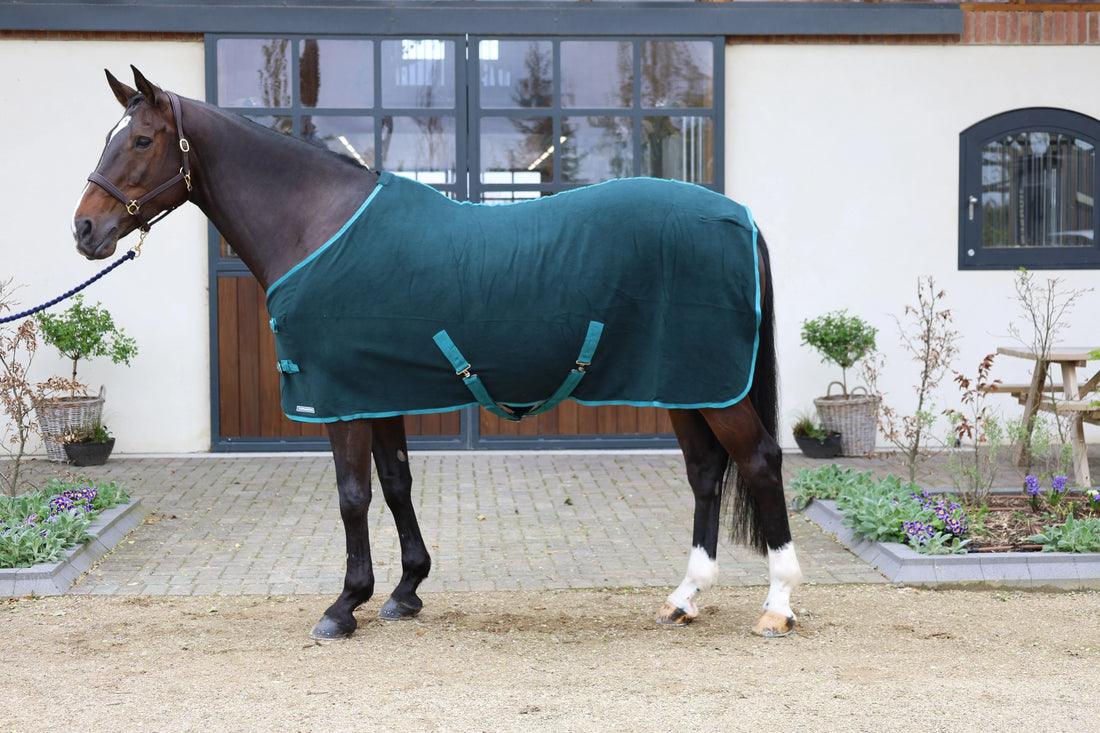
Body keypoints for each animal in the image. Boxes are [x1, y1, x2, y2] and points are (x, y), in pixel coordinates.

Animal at [72, 67, 802, 639]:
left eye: (141, 139)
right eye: (108, 137)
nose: (84, 229)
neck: (318, 223)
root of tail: (739, 216)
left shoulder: (339, 397)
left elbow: (353, 495)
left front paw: (344, 606)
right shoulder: (376, 390)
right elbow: (395, 485)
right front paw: (404, 591)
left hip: (716, 389)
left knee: (759, 461)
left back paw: (777, 604)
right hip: (684, 385)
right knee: (706, 472)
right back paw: (684, 597)